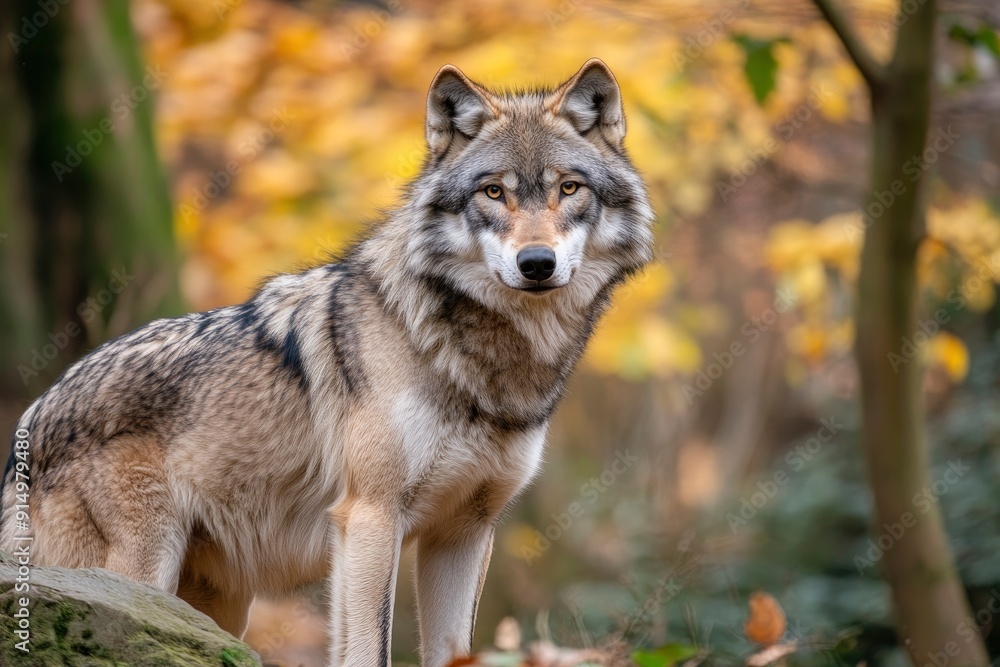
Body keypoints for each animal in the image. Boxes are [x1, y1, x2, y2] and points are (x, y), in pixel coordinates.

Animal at [0, 59, 653, 667]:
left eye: (569, 189)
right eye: (493, 192)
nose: (536, 263)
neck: (473, 355)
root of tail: (34, 415)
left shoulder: (465, 534)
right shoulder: (369, 518)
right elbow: (370, 648)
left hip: (215, 607)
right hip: (144, 571)